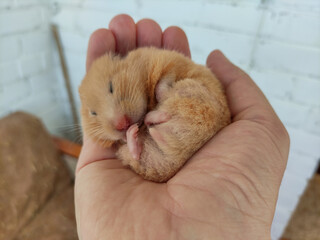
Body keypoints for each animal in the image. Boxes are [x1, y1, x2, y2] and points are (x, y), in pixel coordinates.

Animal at [79, 47, 231, 182]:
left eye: (111, 87)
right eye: (93, 112)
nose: (122, 124)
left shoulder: (169, 61)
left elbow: (165, 77)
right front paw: (128, 132)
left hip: (197, 92)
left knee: (168, 94)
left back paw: (156, 116)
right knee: (136, 152)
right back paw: (142, 126)